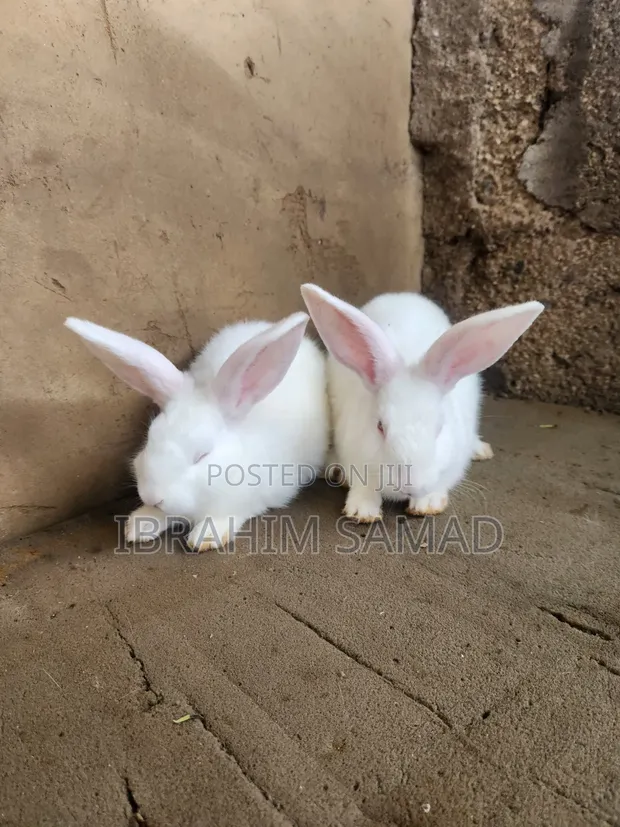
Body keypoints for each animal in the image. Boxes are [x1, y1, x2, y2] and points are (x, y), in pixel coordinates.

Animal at [65, 311, 329, 551]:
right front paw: (139, 526)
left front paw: (205, 537)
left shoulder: (250, 500)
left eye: (202, 455)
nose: (153, 496)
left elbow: (225, 516)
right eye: (150, 439)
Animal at [300, 284, 544, 522]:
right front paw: (362, 511)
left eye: (440, 427)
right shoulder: (353, 452)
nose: (408, 485)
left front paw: (427, 504)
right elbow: (364, 486)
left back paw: (481, 450)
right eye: (380, 426)